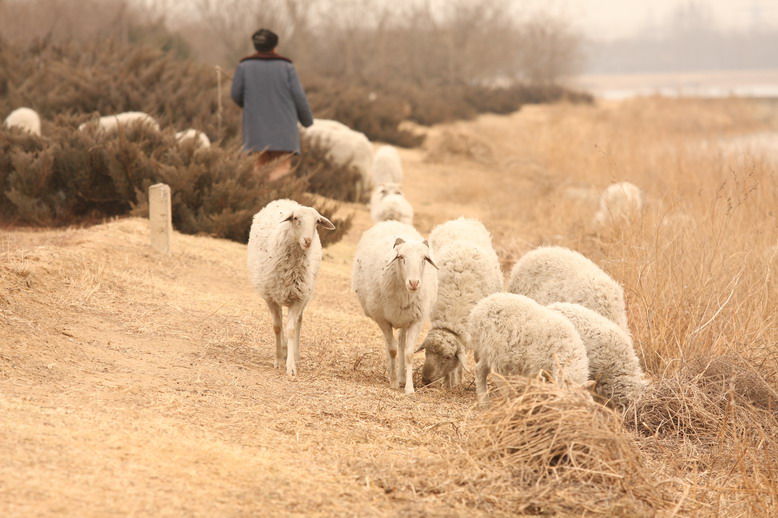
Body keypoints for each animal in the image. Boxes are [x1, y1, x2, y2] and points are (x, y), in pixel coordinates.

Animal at [247, 200, 334, 378]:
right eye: (295, 218)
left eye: (317, 222)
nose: (308, 240)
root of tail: (285, 201)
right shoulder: (270, 298)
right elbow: (277, 327)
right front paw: (278, 359)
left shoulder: (299, 298)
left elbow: (292, 329)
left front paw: (291, 365)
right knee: (280, 321)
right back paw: (284, 349)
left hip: (305, 293)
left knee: (299, 321)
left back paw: (294, 353)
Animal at [352, 221, 436, 396]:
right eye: (401, 257)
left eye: (424, 258)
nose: (414, 283)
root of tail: (390, 221)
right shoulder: (383, 321)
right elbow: (392, 350)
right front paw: (393, 382)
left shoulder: (416, 321)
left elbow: (409, 353)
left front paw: (409, 388)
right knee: (390, 344)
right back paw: (394, 374)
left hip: (404, 319)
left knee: (402, 343)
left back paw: (402, 376)